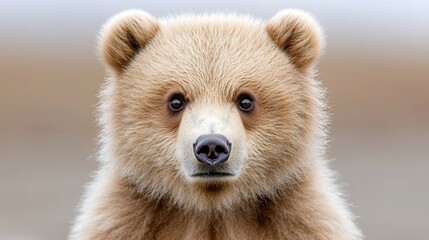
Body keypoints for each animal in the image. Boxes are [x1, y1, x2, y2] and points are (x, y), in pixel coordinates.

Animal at [69, 8, 362, 240]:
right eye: (176, 100)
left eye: (246, 100)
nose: (211, 146)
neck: (212, 209)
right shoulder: (126, 222)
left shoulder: (301, 221)